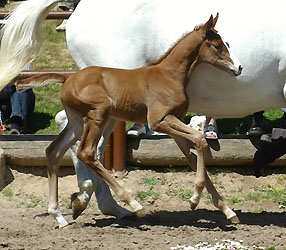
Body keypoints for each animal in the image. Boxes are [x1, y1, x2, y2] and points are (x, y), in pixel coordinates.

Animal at [1, 0, 286, 228]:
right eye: (218, 45)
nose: (239, 67)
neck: (168, 74)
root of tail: (68, 78)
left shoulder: (172, 121)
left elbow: (194, 151)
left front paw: (223, 209)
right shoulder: (158, 120)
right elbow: (200, 141)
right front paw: (196, 199)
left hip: (83, 119)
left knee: (58, 149)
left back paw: (69, 211)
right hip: (102, 114)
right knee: (88, 151)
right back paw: (126, 203)